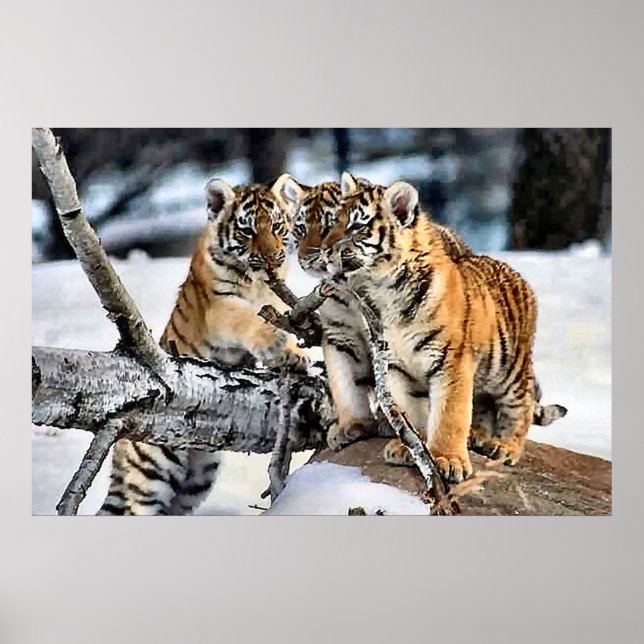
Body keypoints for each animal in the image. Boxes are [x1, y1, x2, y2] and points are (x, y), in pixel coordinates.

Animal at [98, 174, 308, 515]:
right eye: (248, 230)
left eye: (277, 226)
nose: (271, 259)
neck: (257, 283)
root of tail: (119, 449)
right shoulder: (219, 307)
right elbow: (248, 318)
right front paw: (275, 343)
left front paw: (292, 355)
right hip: (151, 472)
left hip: (197, 480)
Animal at [302, 172, 566, 482]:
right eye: (334, 221)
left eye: (356, 226)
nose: (324, 251)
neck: (383, 289)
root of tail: (516, 274)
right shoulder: (395, 366)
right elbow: (410, 413)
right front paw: (409, 449)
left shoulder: (452, 363)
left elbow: (450, 416)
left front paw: (447, 459)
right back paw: (479, 437)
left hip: (508, 370)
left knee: (521, 405)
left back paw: (504, 447)